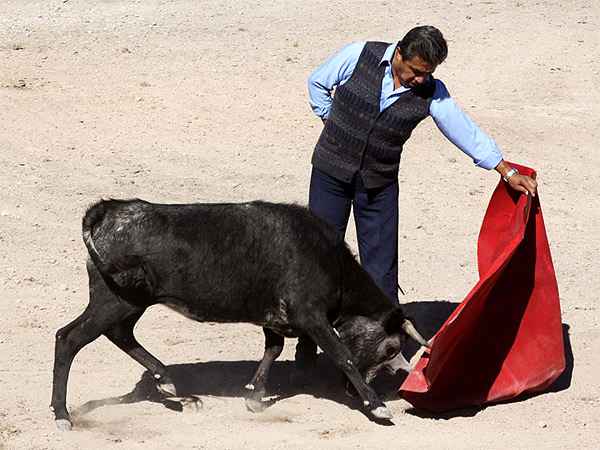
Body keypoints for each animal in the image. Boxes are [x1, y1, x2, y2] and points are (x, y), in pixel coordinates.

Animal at [49, 200, 428, 428]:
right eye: (392, 348)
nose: (350, 392)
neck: (326, 259)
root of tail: (111, 209)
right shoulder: (311, 317)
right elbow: (343, 354)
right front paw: (376, 405)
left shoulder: (276, 319)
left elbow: (273, 348)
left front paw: (255, 397)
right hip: (115, 301)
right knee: (70, 339)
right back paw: (62, 414)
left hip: (126, 302)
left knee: (117, 334)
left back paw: (165, 379)